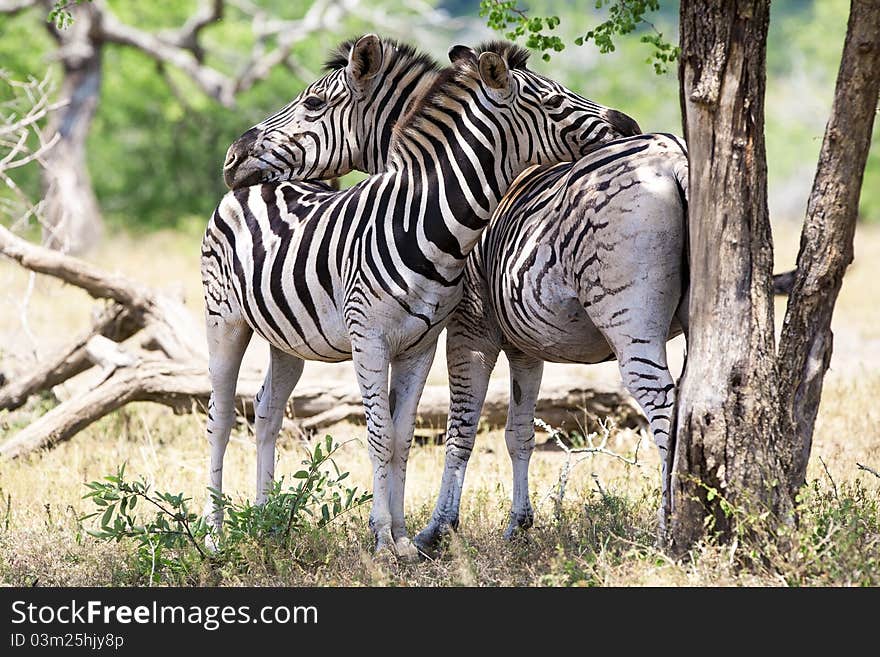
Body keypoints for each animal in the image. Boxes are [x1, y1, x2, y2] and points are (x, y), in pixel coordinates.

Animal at [205, 37, 640, 560]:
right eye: (556, 100)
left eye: (312, 103)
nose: (233, 158)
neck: (421, 221)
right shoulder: (401, 336)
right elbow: (405, 434)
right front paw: (399, 536)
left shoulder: (427, 341)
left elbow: (408, 435)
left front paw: (404, 538)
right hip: (227, 322)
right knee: (222, 417)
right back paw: (217, 536)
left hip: (287, 338)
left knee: (265, 410)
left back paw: (266, 523)